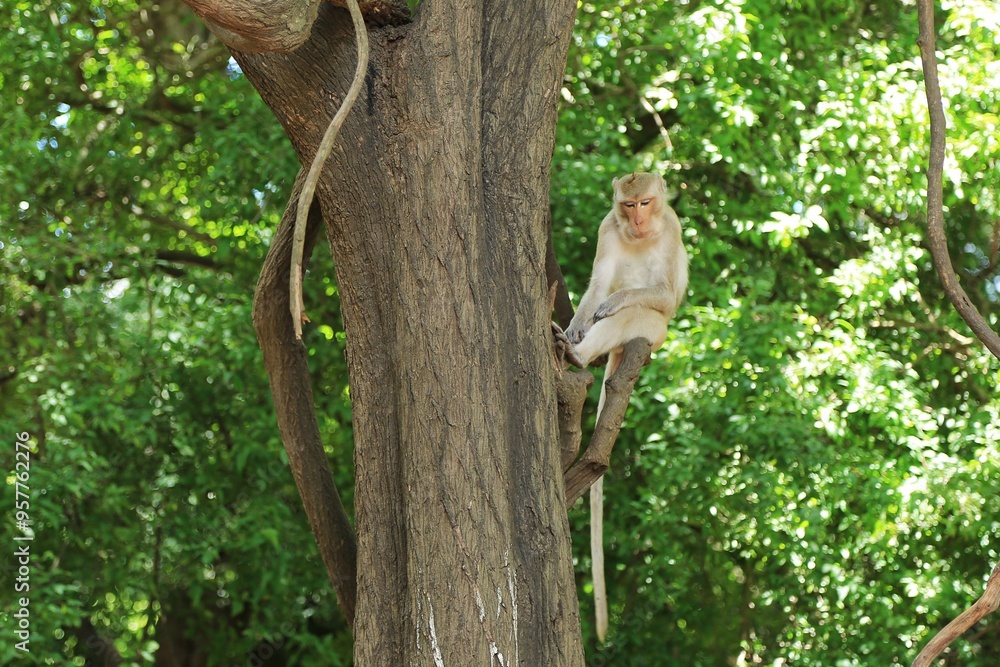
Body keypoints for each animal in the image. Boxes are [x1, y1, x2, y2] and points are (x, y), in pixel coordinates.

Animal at [568, 172, 692, 640]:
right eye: (628, 205)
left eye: (646, 203)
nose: (637, 221)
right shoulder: (606, 227)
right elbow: (598, 285)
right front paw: (576, 325)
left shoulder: (672, 227)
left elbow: (662, 296)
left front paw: (614, 305)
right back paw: (574, 349)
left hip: (654, 337)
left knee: (641, 314)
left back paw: (580, 355)